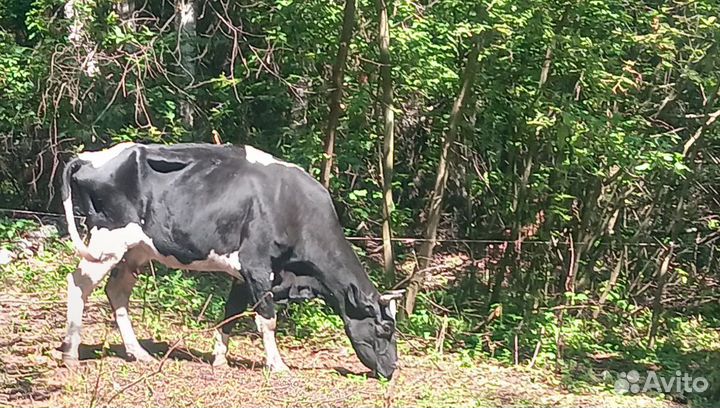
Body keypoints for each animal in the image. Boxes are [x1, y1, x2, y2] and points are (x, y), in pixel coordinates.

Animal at [59, 143, 402, 380]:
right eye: (385, 329)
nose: (392, 369)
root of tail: (90, 156)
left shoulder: (242, 273)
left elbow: (230, 314)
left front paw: (220, 359)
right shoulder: (257, 265)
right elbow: (267, 320)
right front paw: (277, 364)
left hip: (135, 250)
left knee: (117, 292)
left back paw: (139, 353)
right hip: (107, 240)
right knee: (78, 283)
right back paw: (71, 353)